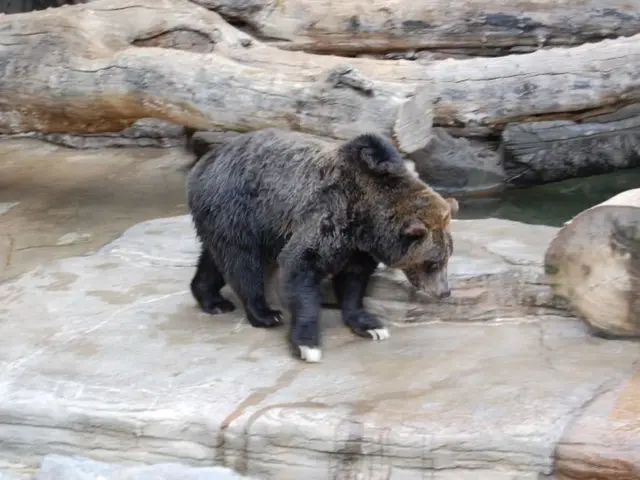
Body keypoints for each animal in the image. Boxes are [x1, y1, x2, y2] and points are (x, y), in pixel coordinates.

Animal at [185, 127, 458, 363]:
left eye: (447, 257)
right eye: (433, 262)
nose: (444, 291)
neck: (366, 216)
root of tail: (204, 162)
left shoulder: (358, 246)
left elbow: (353, 281)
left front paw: (371, 325)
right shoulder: (329, 214)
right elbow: (301, 266)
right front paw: (307, 344)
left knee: (216, 256)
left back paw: (212, 299)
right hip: (237, 206)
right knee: (242, 261)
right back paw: (265, 313)